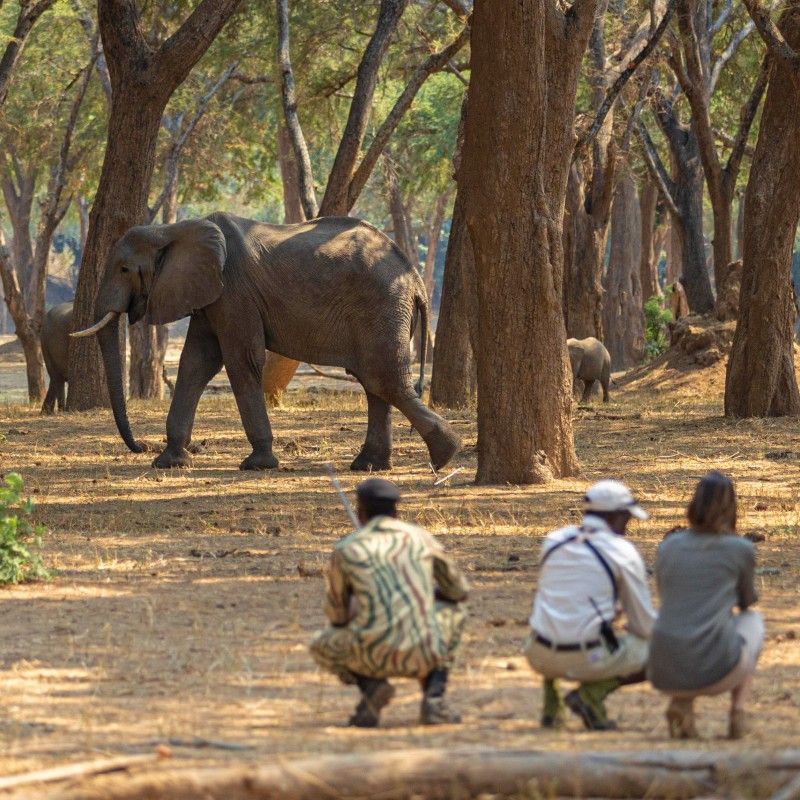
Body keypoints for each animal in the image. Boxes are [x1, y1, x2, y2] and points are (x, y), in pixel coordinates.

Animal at [72, 213, 461, 472]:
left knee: (382, 378)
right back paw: (370, 466)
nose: (138, 446)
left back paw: (445, 454)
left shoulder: (234, 290)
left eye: (124, 269)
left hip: (382, 304)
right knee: (374, 380)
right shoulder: (211, 293)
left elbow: (240, 360)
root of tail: (414, 276)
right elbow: (196, 362)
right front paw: (168, 462)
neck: (173, 228)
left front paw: (257, 464)